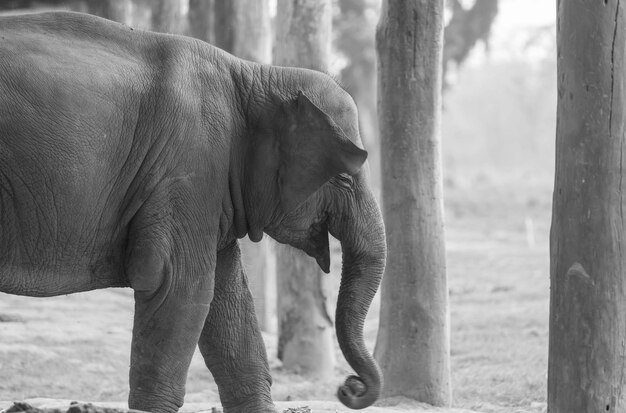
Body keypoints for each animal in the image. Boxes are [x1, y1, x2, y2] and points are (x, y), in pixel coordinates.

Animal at [0, 10, 386, 412]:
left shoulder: (204, 186)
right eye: (344, 176)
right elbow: (181, 287)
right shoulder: (189, 167)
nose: (349, 387)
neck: (256, 75)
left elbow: (227, 301)